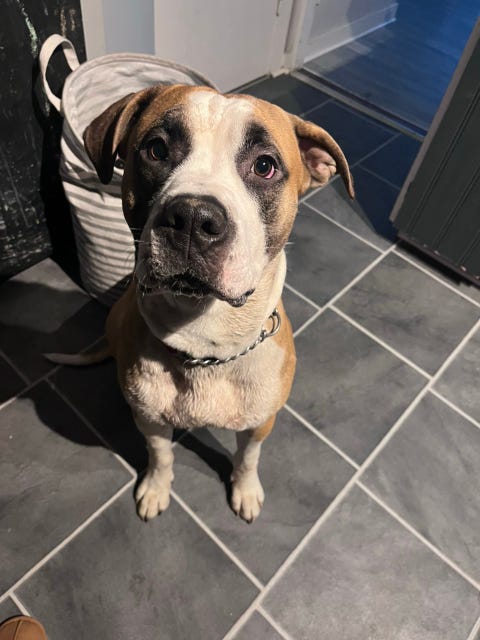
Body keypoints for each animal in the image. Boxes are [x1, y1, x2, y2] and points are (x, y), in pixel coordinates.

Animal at [50, 84, 353, 523]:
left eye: (265, 166)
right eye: (157, 149)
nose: (193, 218)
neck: (205, 344)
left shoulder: (260, 423)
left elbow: (248, 458)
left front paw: (245, 490)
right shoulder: (150, 419)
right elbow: (160, 456)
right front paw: (156, 488)